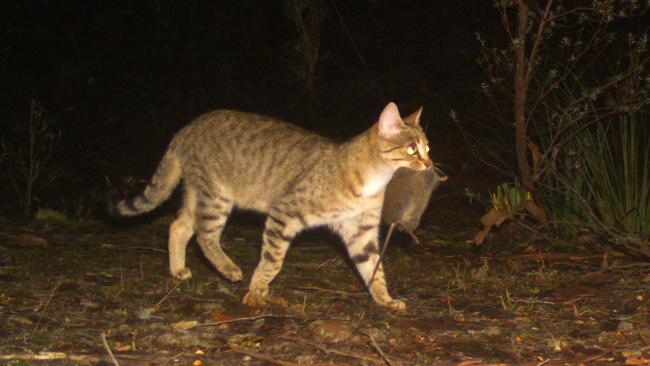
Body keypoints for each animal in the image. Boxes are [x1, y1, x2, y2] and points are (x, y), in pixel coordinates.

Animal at [109, 101, 432, 310]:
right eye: (411, 149)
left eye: (427, 148)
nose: (429, 164)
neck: (373, 180)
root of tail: (186, 129)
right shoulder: (284, 212)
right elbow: (273, 260)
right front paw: (256, 291)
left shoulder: (360, 232)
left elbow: (373, 268)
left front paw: (384, 299)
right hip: (216, 196)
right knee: (204, 235)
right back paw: (228, 269)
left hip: (197, 193)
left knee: (178, 226)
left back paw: (178, 270)